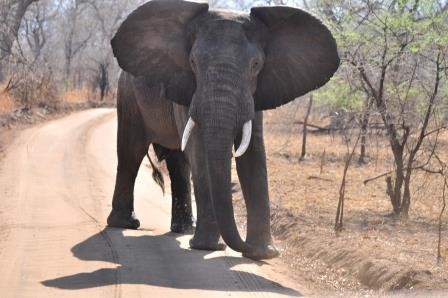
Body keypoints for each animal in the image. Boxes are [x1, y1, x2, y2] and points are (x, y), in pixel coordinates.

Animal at [107, 0, 338, 260]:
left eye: (256, 65)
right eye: (193, 62)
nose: (244, 248)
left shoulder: (256, 92)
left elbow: (254, 153)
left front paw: (264, 253)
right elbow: (199, 149)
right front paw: (209, 247)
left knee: (178, 162)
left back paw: (184, 229)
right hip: (127, 96)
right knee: (131, 153)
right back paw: (126, 224)